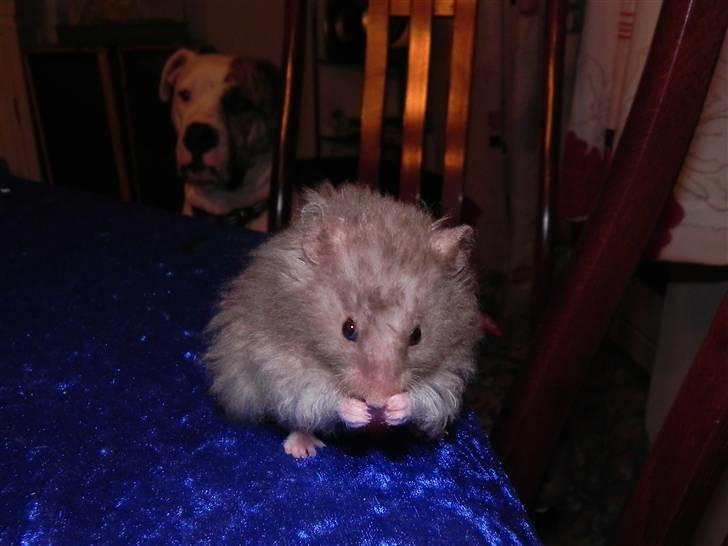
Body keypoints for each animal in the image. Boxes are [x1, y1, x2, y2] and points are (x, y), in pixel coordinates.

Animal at [204, 183, 481, 458]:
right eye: (348, 329)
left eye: (417, 336)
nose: (377, 401)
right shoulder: (283, 365)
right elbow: (322, 396)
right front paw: (360, 412)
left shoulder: (447, 374)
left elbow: (424, 396)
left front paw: (393, 409)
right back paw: (303, 450)